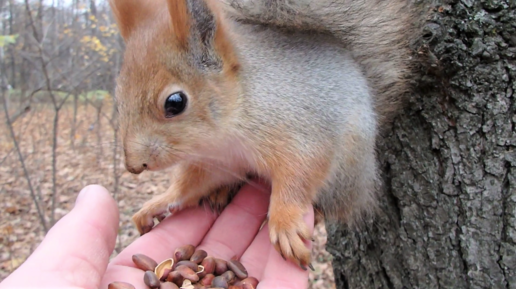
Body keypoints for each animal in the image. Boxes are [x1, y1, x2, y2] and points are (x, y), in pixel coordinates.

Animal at [109, 0, 416, 268]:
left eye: (175, 102)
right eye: (119, 95)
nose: (134, 166)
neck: (223, 138)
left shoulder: (303, 133)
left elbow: (300, 176)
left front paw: (285, 222)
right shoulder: (217, 162)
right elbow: (191, 185)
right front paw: (158, 203)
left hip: (348, 169)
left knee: (334, 204)